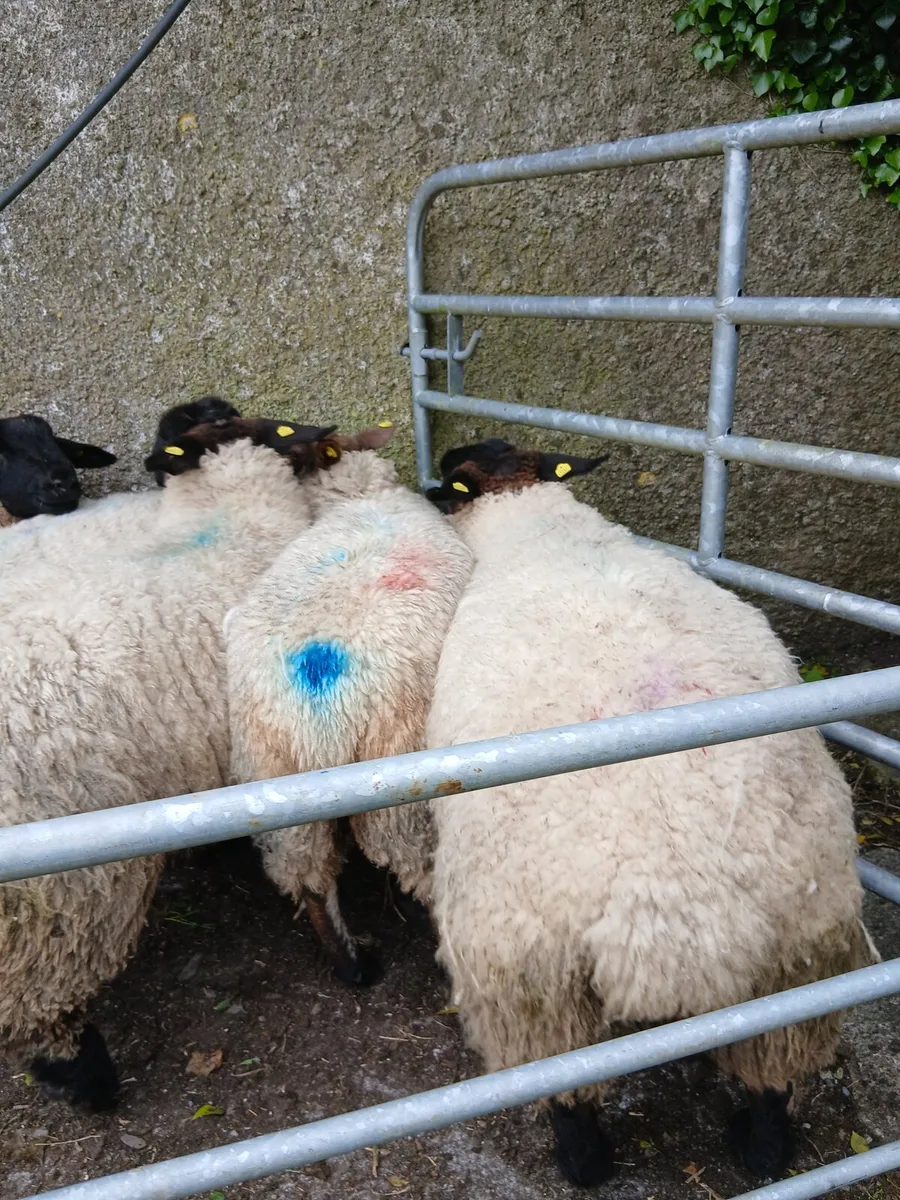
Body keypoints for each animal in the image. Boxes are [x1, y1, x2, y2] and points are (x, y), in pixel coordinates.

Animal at [224, 426, 474, 985]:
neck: (363, 494)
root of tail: (316, 712)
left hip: (274, 777)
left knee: (310, 877)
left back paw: (352, 963)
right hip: (399, 787)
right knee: (419, 872)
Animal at [421, 438, 865, 1187]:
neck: (536, 523)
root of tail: (673, 910)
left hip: (530, 984)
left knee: (567, 1090)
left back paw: (584, 1162)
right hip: (803, 958)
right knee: (774, 1072)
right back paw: (762, 1150)